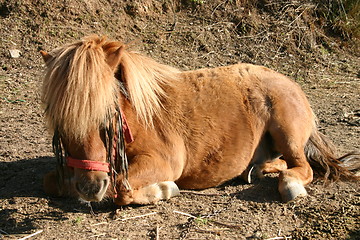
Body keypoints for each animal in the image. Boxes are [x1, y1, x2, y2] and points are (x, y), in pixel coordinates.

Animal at [40, 35, 358, 204]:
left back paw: (288, 183)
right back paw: (256, 169)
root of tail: (290, 82)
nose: (89, 187)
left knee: (302, 167)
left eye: (107, 115)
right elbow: (52, 181)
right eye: (58, 118)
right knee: (280, 162)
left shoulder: (163, 162)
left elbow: (122, 189)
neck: (139, 114)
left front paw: (164, 189)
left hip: (287, 130)